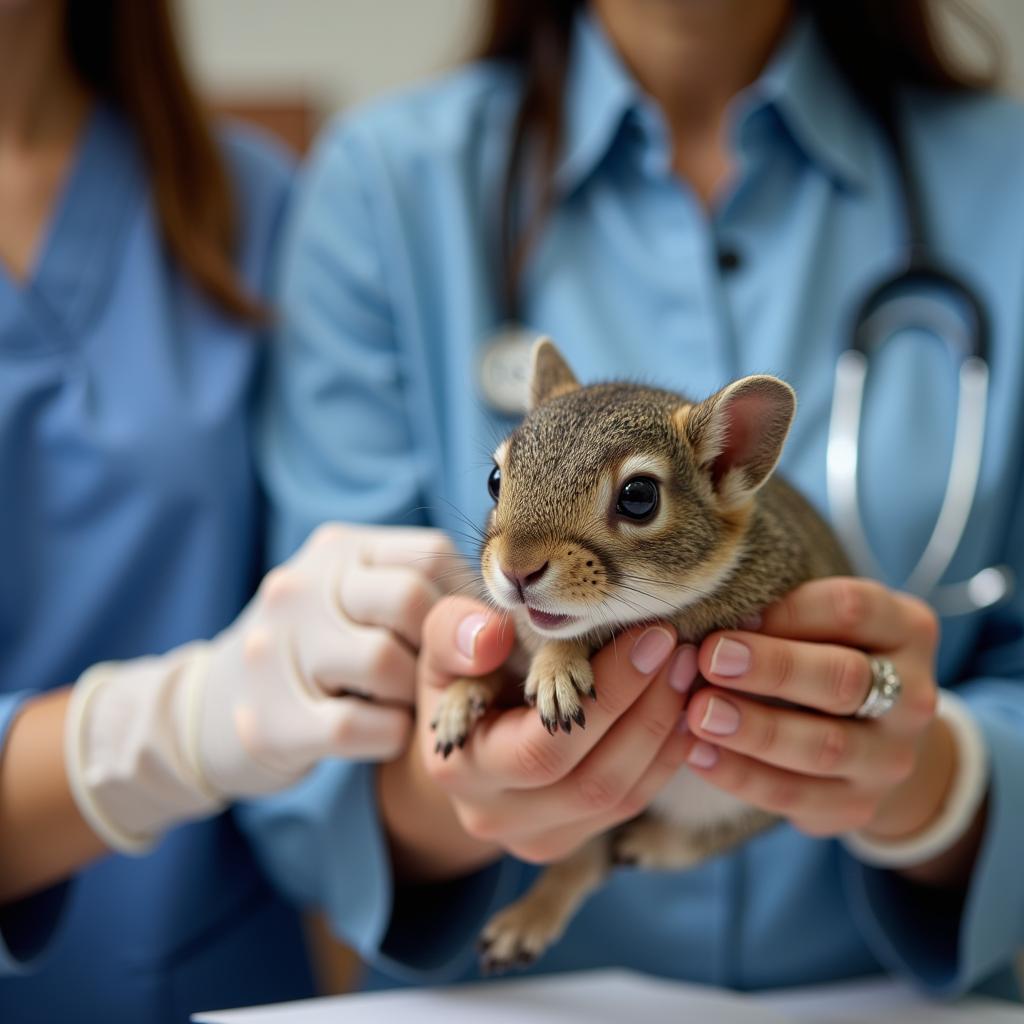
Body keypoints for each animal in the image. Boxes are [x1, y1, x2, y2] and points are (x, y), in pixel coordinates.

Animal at [430, 339, 847, 970]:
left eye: (639, 497)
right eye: (495, 479)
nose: (517, 570)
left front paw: (558, 664)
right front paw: (461, 697)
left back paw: (646, 843)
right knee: (583, 861)